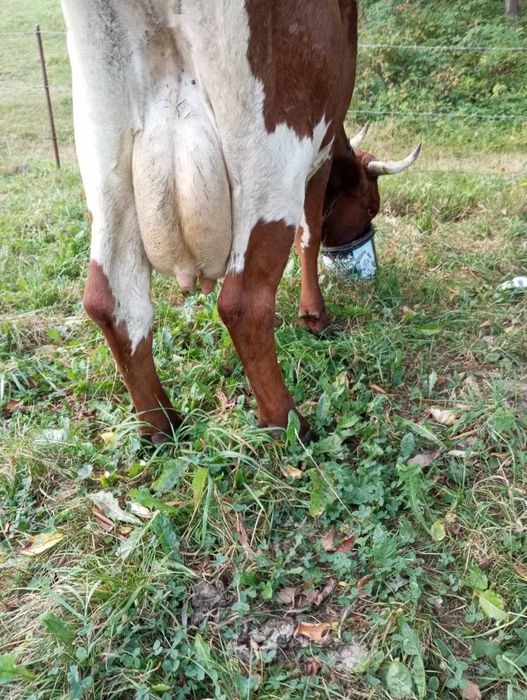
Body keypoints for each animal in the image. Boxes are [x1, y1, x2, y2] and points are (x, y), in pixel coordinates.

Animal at [61, 0, 419, 444]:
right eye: (371, 206)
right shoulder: (317, 156)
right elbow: (310, 235)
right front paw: (314, 317)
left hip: (105, 165)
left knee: (111, 302)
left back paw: (161, 425)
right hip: (269, 153)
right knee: (243, 302)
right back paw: (287, 423)